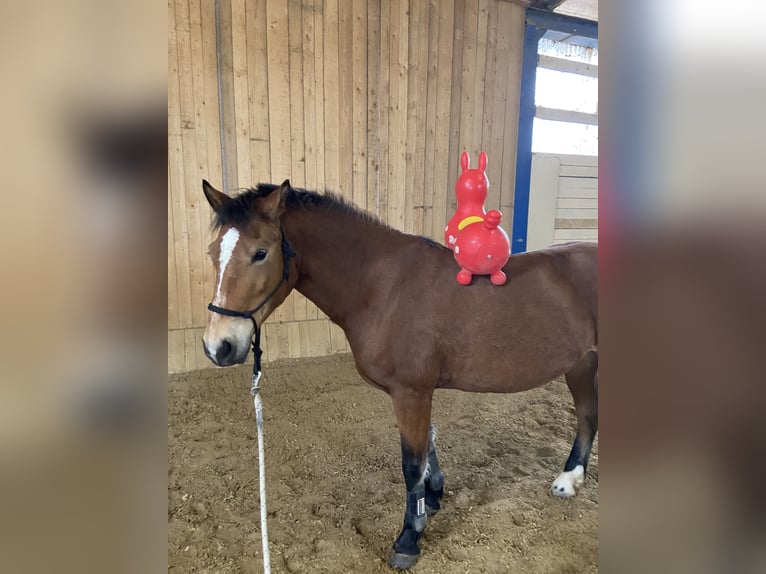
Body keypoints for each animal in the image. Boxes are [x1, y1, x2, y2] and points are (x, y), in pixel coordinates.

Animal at [200, 179, 598, 570]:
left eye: (261, 253)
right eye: (212, 252)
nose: (218, 346)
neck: (383, 287)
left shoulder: (411, 392)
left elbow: (412, 463)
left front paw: (409, 537)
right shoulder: (419, 391)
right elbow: (428, 446)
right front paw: (434, 497)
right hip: (582, 363)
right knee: (587, 416)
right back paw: (570, 479)